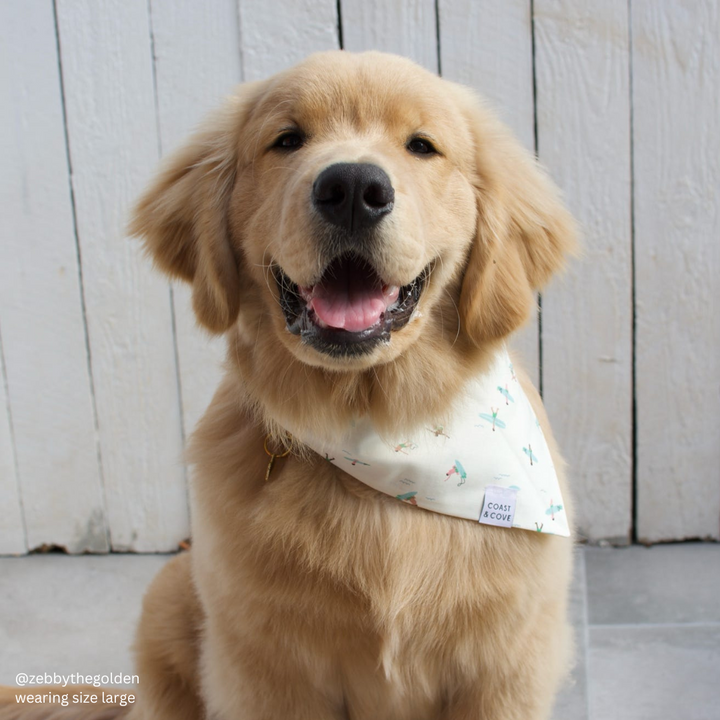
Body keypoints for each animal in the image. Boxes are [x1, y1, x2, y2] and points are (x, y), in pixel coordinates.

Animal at [0, 52, 576, 720]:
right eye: (287, 140)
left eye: (422, 146)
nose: (352, 189)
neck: (384, 441)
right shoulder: (268, 672)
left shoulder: (505, 669)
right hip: (171, 595)